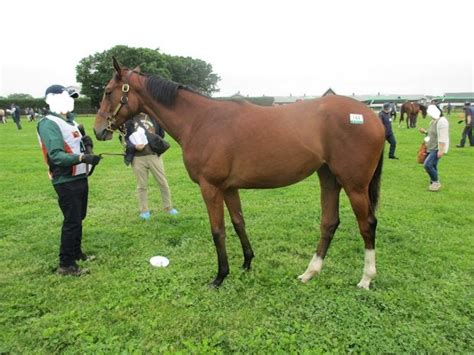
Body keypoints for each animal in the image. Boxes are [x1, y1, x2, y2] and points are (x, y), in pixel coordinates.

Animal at [93, 59, 386, 290]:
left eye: (108, 91)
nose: (98, 130)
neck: (200, 120)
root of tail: (371, 115)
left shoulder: (210, 187)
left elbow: (218, 231)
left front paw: (220, 276)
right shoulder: (229, 188)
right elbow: (238, 223)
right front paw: (246, 262)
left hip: (354, 185)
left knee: (367, 224)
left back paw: (366, 279)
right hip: (329, 178)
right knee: (329, 223)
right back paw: (309, 273)